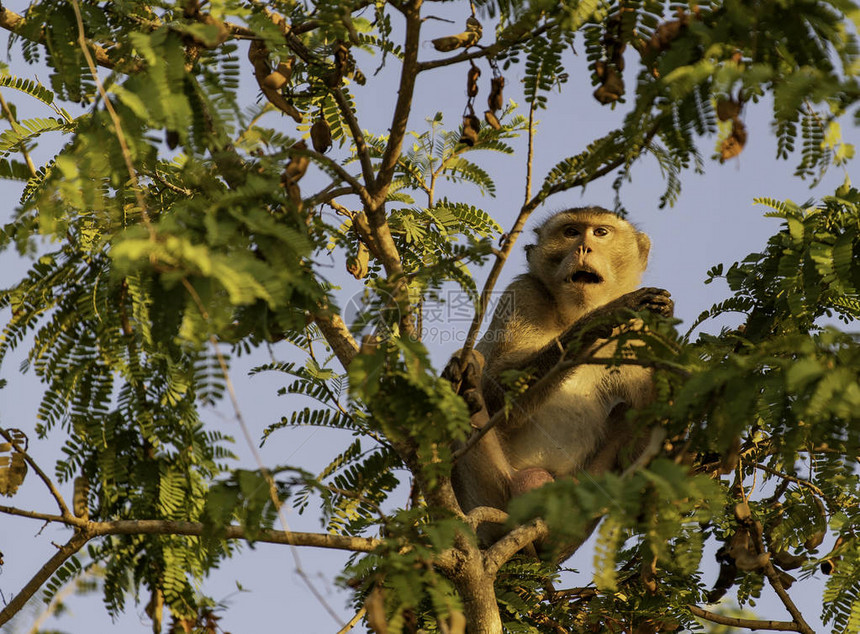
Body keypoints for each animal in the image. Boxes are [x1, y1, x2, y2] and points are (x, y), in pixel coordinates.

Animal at [446, 206, 676, 540]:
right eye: (570, 233)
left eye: (600, 232)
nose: (584, 248)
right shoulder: (523, 293)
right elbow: (496, 391)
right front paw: (602, 317)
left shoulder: (642, 334)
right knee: (472, 369)